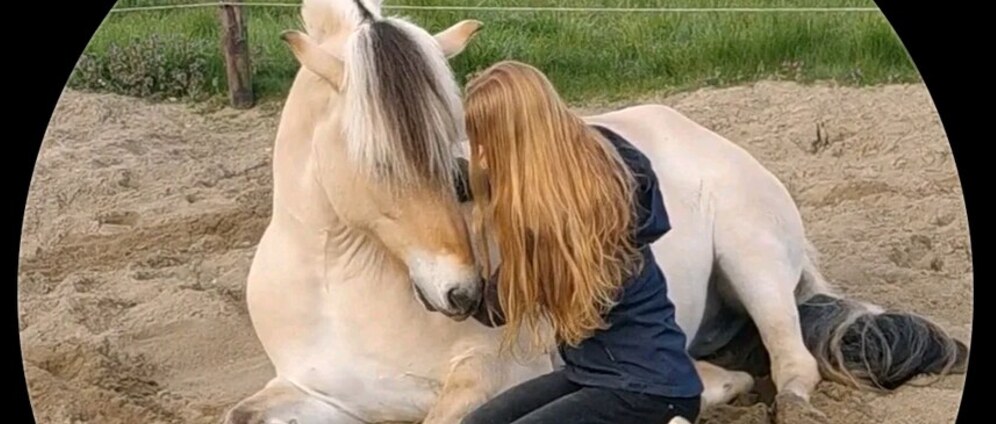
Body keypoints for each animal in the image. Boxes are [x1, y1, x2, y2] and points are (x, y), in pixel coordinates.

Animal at [223, 0, 970, 423]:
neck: (333, 283)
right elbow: (240, 414)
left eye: (459, 171)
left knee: (793, 368)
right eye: (381, 163)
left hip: (753, 262)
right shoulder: (317, 390)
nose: (463, 293)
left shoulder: (482, 378)